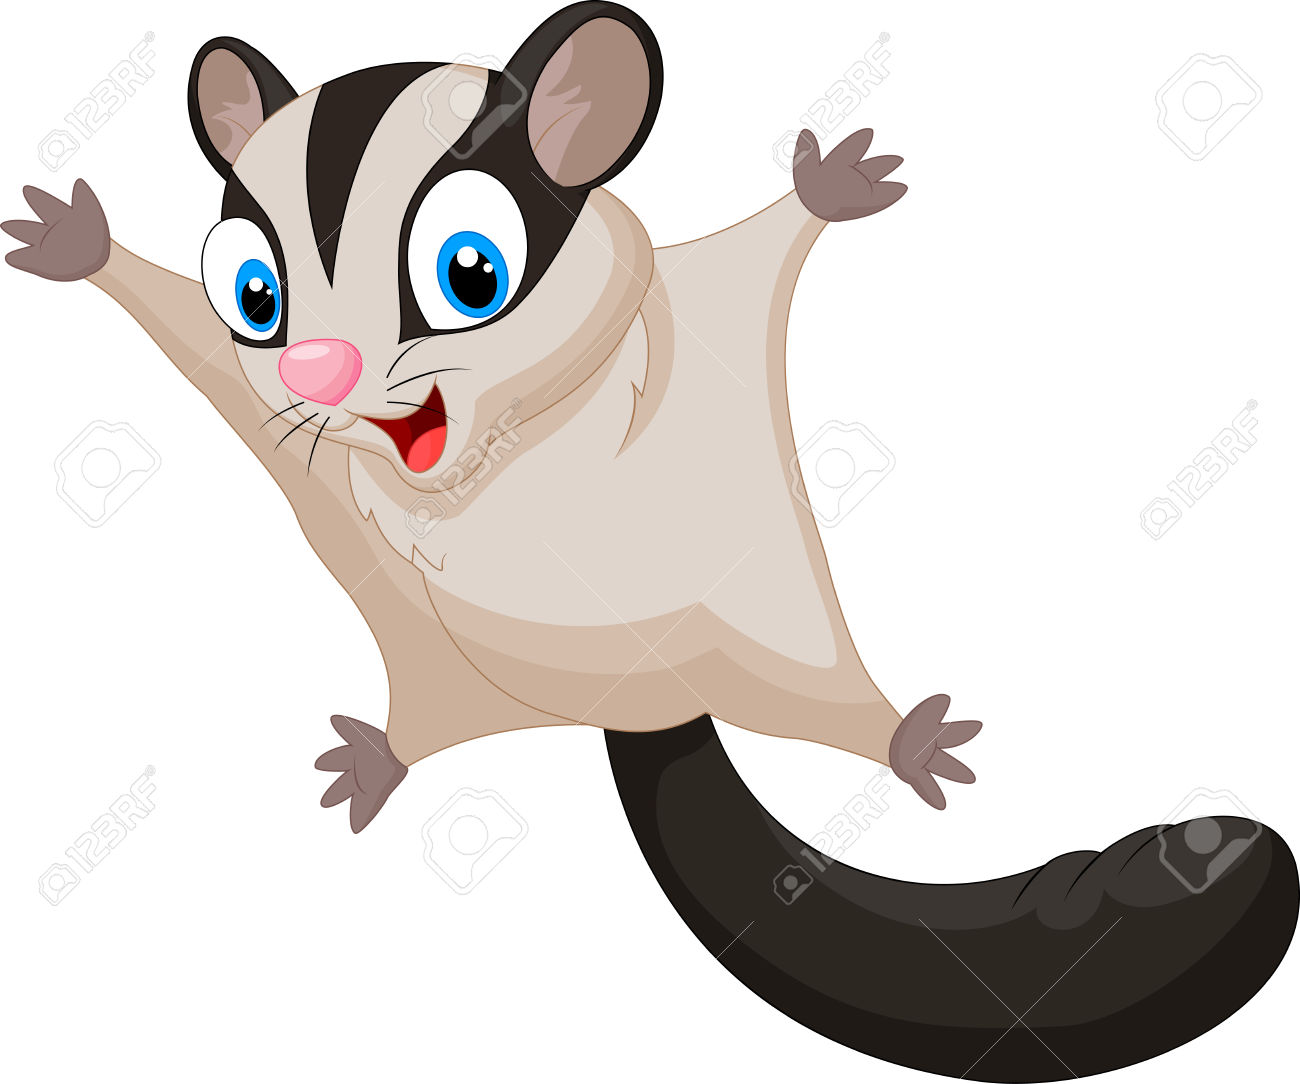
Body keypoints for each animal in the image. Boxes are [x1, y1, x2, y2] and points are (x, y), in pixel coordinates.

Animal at [7, 5, 1296, 1080]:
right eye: (255, 296)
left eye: (469, 272)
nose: (319, 376)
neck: (504, 448)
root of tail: (647, 696)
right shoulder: (269, 412)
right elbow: (178, 325)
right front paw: (81, 247)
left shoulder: (710, 302)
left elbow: (780, 236)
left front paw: (828, 186)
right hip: (458, 683)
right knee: (431, 724)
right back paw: (382, 758)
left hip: (777, 647)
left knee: (833, 707)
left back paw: (903, 740)